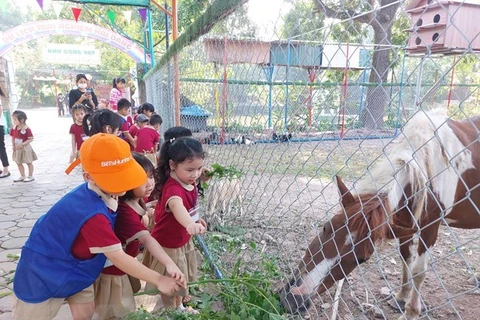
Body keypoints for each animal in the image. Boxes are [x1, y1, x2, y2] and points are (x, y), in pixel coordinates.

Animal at [280, 109, 480, 318]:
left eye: (362, 259)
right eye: (326, 228)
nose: (294, 299)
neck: (425, 166)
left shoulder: (430, 227)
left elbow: (418, 271)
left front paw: (410, 312)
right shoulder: (405, 222)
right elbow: (405, 257)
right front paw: (402, 296)